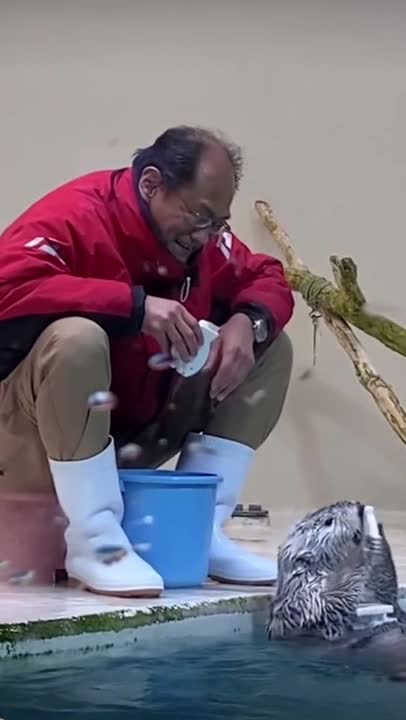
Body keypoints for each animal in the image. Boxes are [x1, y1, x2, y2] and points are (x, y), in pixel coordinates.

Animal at [267, 501, 406, 677]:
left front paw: (377, 529)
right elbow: (329, 605)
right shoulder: (304, 600)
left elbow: (386, 588)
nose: (358, 506)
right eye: (328, 521)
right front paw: (363, 546)